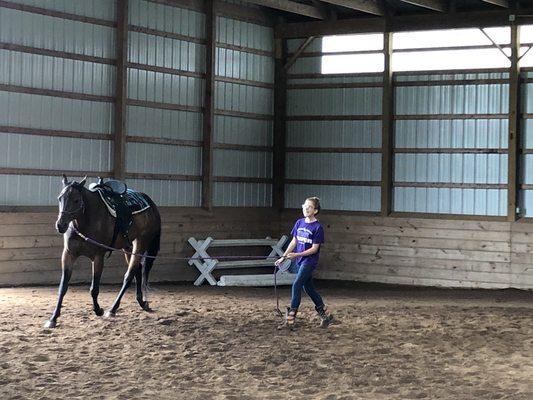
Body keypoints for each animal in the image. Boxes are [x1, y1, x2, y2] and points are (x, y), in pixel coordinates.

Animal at [44, 175, 161, 328]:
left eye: (76, 200)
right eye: (60, 198)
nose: (60, 225)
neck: (86, 221)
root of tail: (150, 204)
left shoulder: (98, 257)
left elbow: (94, 288)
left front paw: (98, 310)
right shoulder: (69, 254)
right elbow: (63, 287)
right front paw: (53, 318)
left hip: (141, 242)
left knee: (129, 275)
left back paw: (113, 309)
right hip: (128, 247)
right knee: (137, 269)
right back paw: (141, 302)